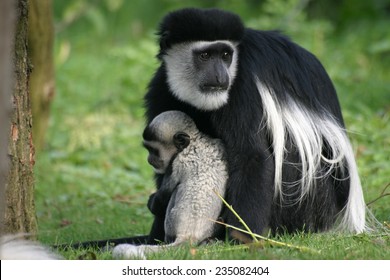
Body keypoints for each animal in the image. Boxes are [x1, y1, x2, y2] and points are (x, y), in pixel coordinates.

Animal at [112, 110, 229, 260]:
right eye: (148, 149)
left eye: (153, 151)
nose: (149, 160)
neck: (196, 141)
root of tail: (188, 236)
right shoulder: (218, 144)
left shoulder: (175, 164)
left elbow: (160, 200)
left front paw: (152, 201)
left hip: (170, 223)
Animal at [142, 6, 366, 243]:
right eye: (204, 56)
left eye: (225, 55)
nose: (220, 76)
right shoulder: (162, 86)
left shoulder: (242, 85)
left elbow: (251, 155)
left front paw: (241, 238)